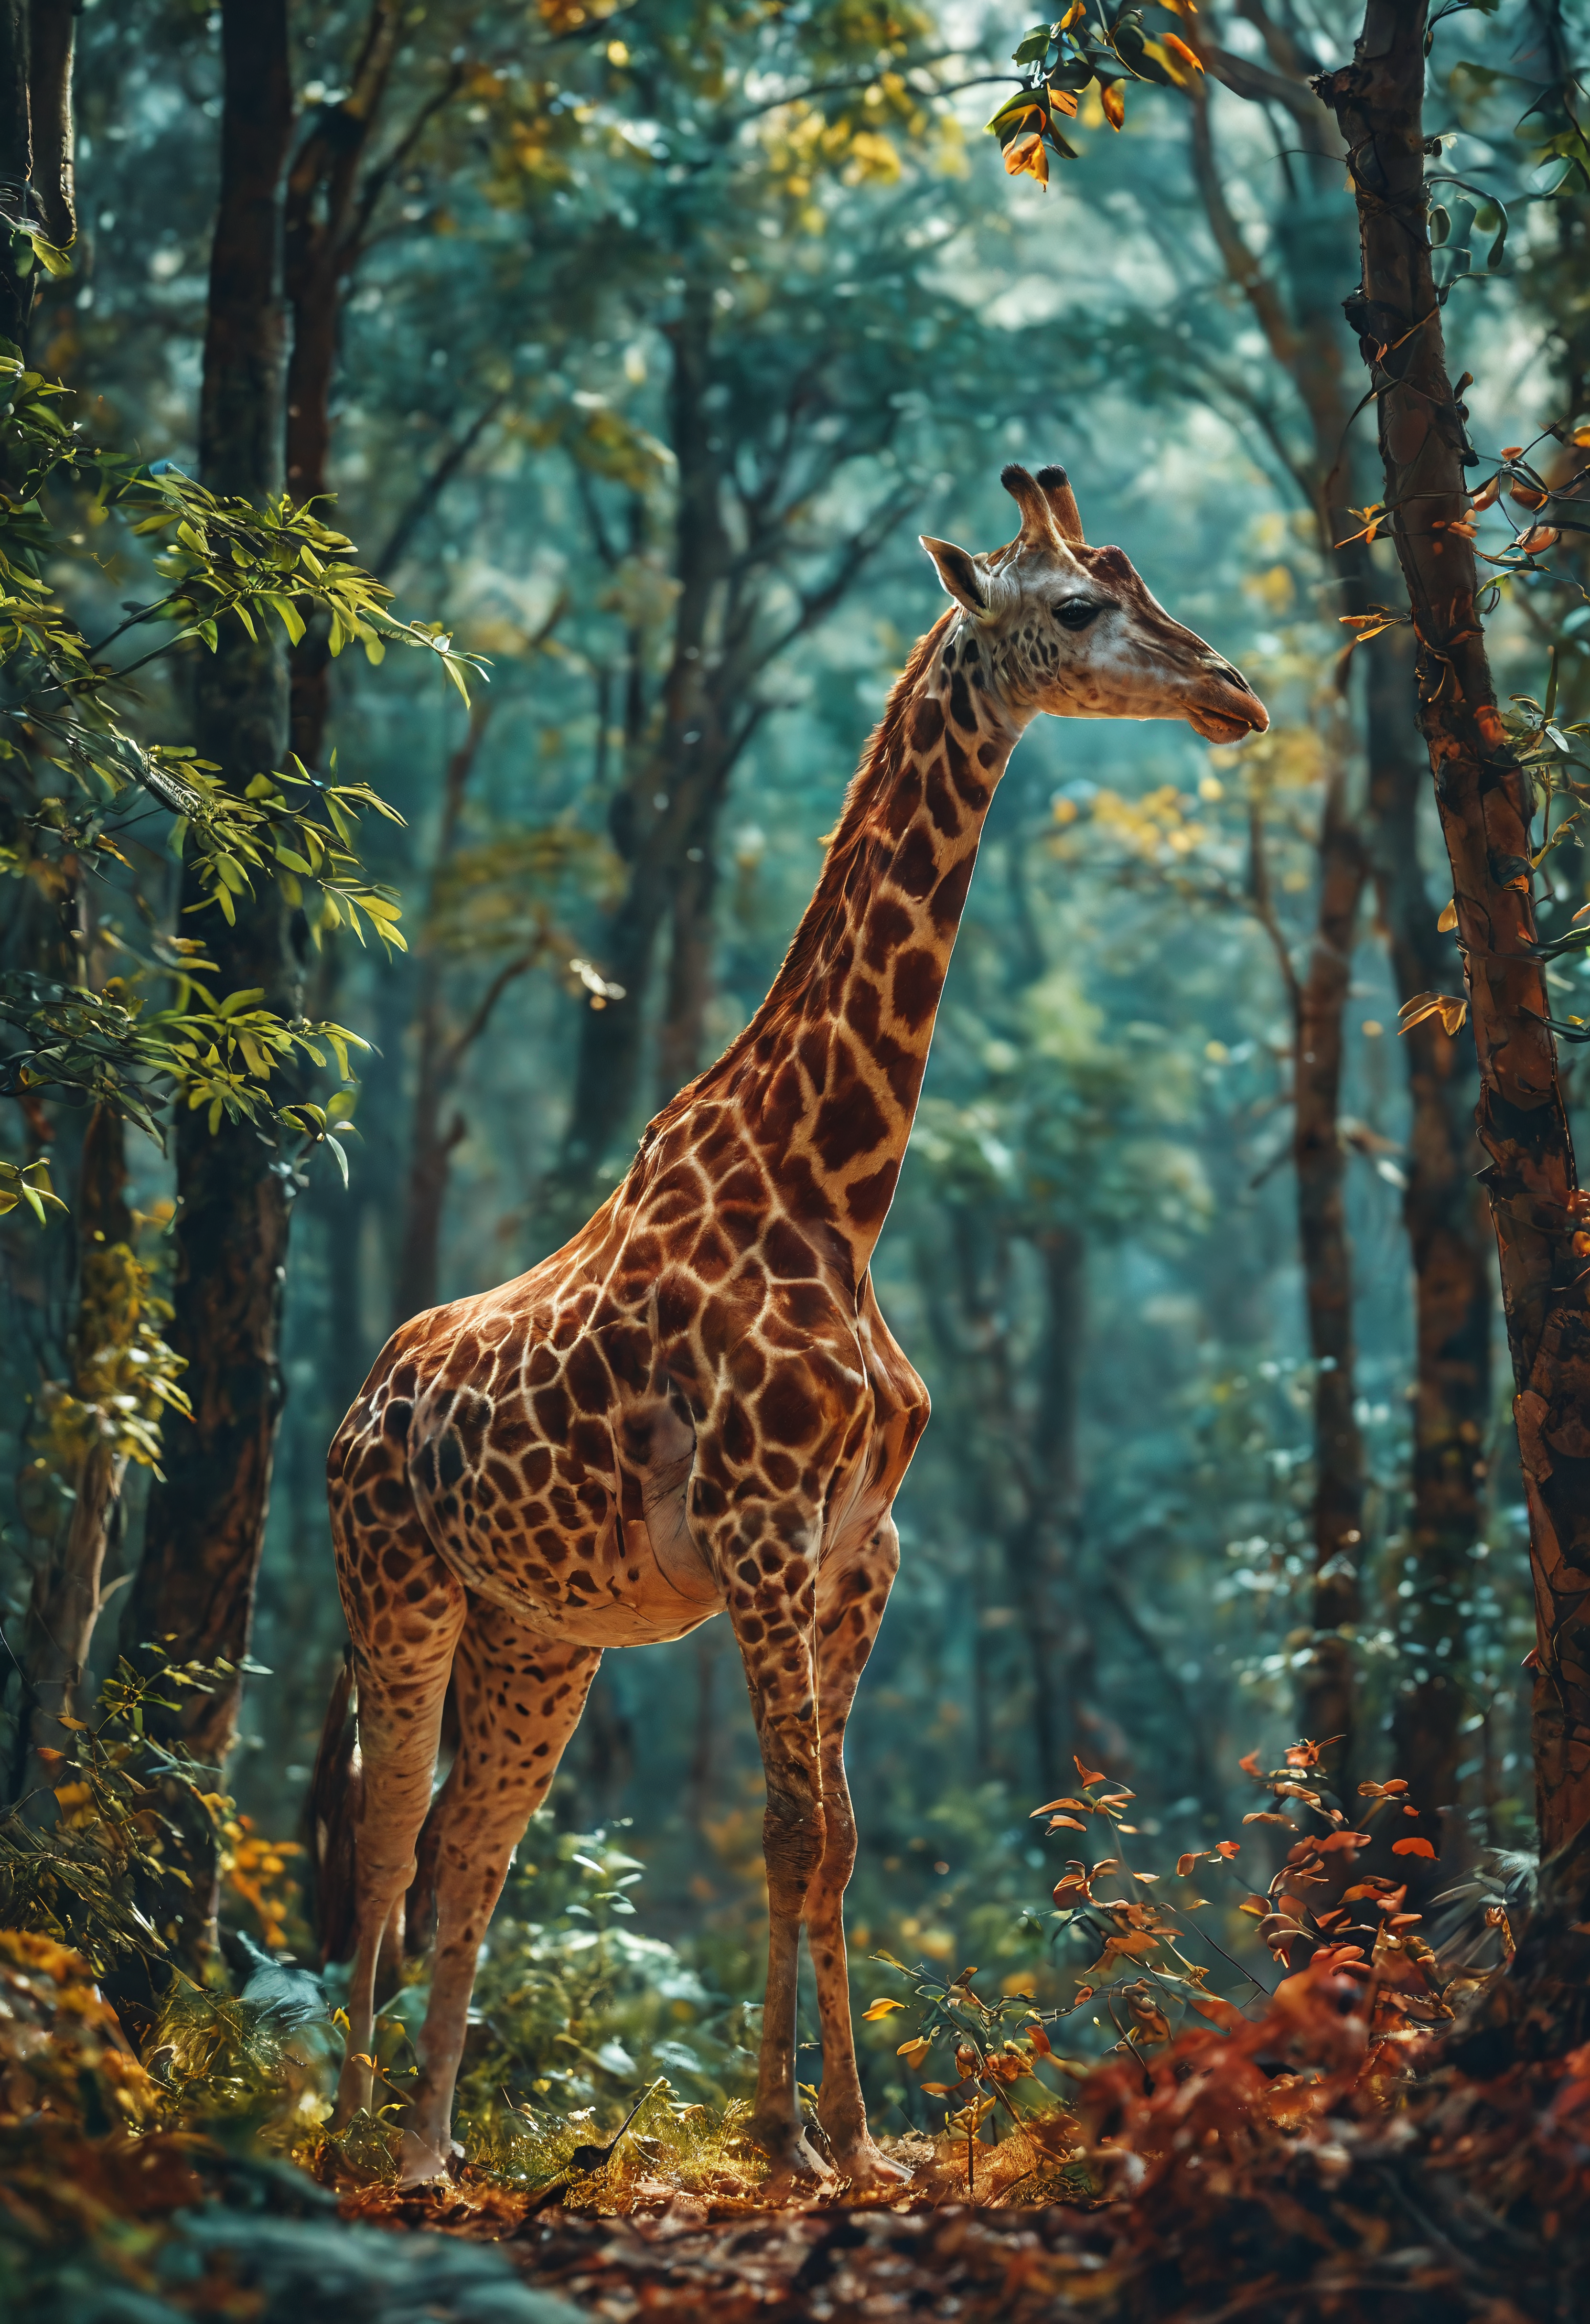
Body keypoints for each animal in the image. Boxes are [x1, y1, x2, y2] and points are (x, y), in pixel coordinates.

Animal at [315, 463, 1268, 2189]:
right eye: (1078, 605)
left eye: (1141, 580)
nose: (1233, 693)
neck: (837, 1184)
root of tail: (364, 1394)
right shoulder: (762, 1532)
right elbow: (786, 1826)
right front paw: (777, 2137)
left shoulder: (855, 1550)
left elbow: (833, 1839)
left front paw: (855, 2139)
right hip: (395, 1583)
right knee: (385, 1822)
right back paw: (361, 2138)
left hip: (542, 1631)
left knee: (475, 1845)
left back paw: (436, 2139)